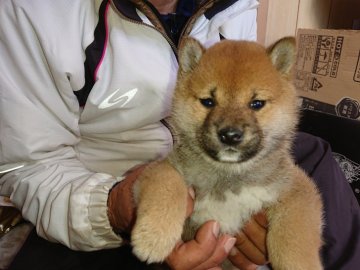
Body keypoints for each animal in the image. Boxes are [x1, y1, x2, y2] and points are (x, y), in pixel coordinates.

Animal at [131, 36, 324, 270]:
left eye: (256, 103)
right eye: (208, 102)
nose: (230, 135)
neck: (229, 175)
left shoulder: (295, 188)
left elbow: (295, 235)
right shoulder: (161, 169)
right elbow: (167, 187)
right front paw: (154, 237)